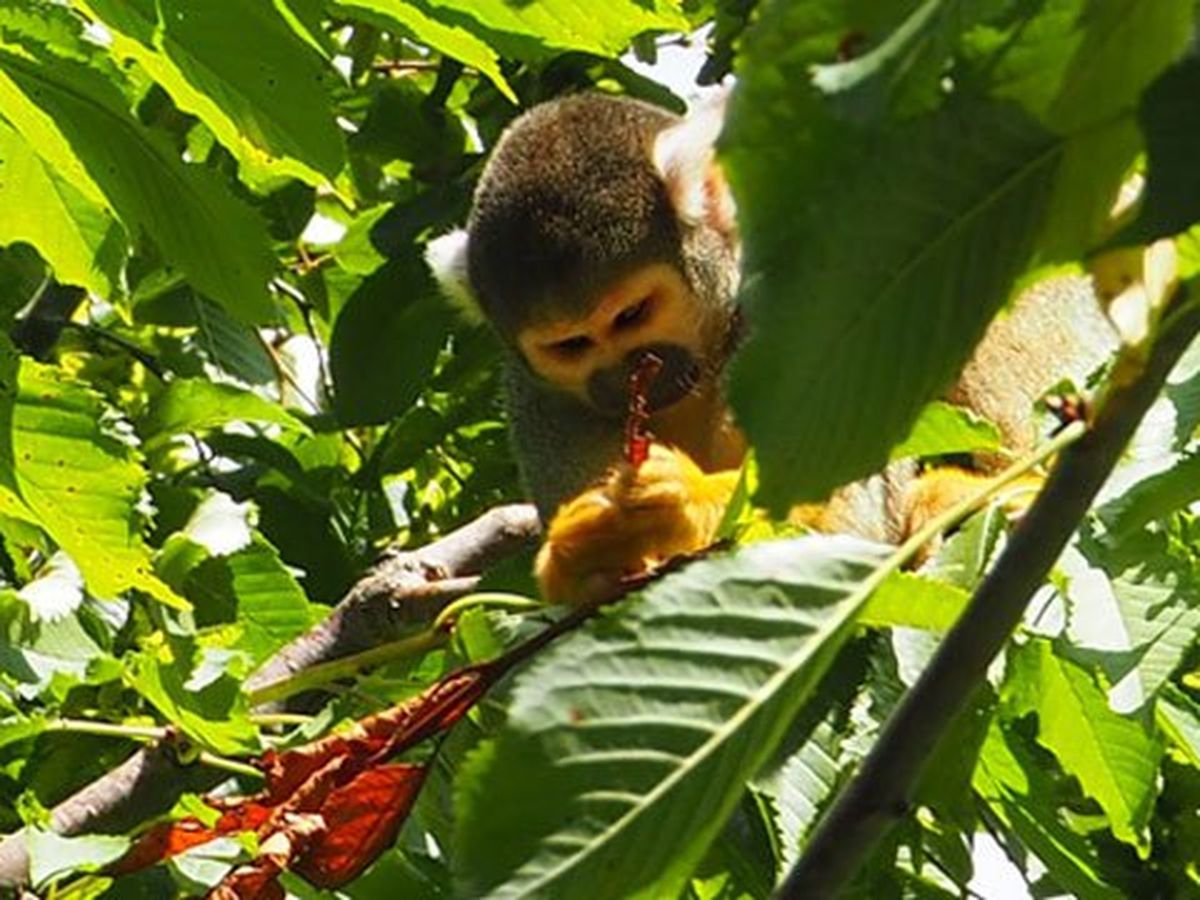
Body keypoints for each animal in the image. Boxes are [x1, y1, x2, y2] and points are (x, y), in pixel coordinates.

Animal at [429, 93, 1113, 607]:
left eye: (631, 315)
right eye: (572, 344)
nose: (622, 379)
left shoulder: (796, 312)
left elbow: (836, 529)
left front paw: (677, 507)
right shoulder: (536, 397)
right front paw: (579, 555)